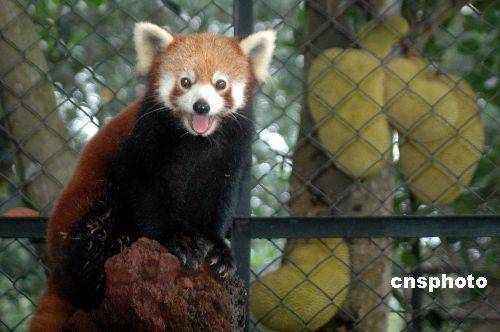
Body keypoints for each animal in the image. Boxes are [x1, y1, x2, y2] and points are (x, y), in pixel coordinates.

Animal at [29, 22, 276, 330]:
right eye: (186, 82)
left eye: (221, 84)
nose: (201, 106)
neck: (194, 139)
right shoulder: (145, 136)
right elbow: (146, 193)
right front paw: (177, 240)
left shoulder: (230, 151)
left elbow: (218, 199)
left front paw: (217, 249)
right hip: (87, 213)